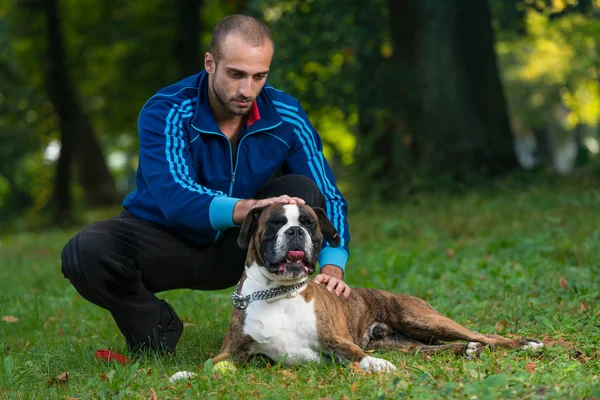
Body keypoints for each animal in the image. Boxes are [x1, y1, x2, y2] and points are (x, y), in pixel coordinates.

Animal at [212, 205, 544, 374]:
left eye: (309, 223)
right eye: (275, 223)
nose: (295, 231)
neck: (278, 294)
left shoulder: (337, 341)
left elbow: (357, 354)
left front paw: (377, 365)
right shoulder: (232, 351)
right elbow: (212, 365)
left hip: (418, 318)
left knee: (485, 335)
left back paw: (526, 345)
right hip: (404, 343)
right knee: (433, 348)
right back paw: (467, 350)